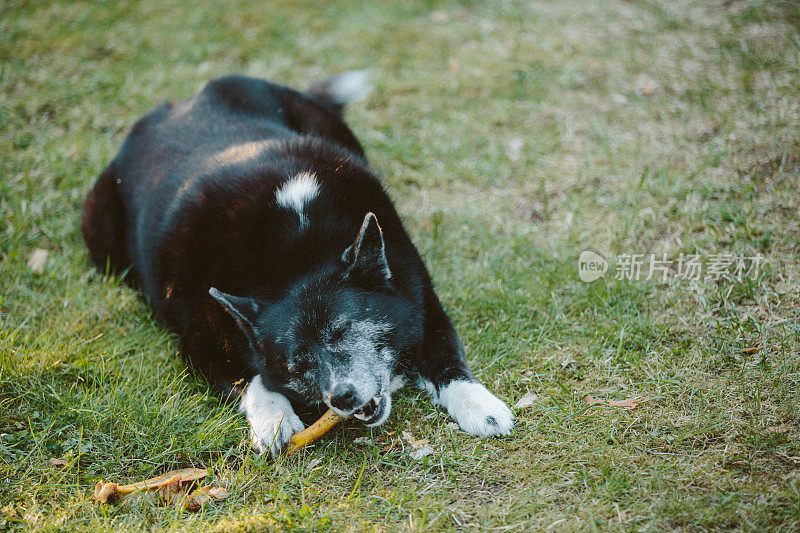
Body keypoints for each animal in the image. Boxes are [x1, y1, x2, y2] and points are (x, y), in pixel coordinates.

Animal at [81, 69, 512, 454]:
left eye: (341, 330)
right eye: (296, 364)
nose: (341, 397)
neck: (295, 257)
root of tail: (179, 104)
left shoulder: (421, 301)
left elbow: (446, 357)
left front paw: (480, 405)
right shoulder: (195, 345)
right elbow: (254, 377)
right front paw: (273, 417)